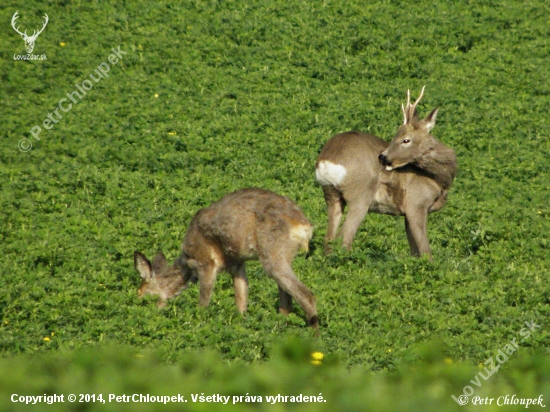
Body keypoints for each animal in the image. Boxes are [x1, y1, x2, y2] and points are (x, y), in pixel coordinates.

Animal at [133, 189, 320, 328]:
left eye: (143, 295)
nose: (150, 313)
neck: (187, 261)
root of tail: (304, 226)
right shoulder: (237, 263)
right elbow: (241, 299)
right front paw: (241, 321)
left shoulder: (206, 262)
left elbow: (203, 301)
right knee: (287, 300)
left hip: (273, 254)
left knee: (307, 296)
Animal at [316, 87, 460, 260]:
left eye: (405, 139)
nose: (383, 157)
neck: (438, 180)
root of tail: (326, 160)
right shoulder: (416, 203)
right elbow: (426, 251)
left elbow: (414, 251)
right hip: (360, 194)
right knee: (343, 237)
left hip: (331, 194)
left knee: (328, 238)